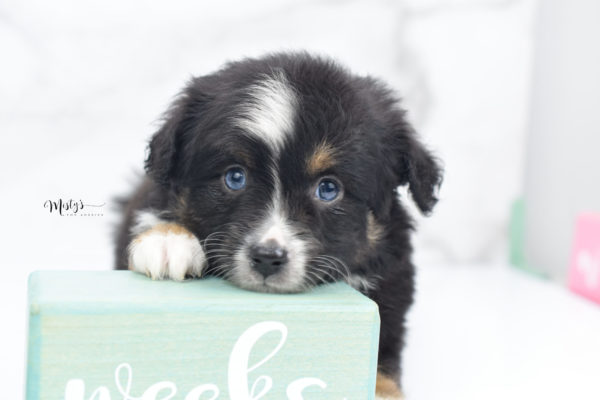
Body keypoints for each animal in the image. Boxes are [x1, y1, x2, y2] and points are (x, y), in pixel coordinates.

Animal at [115, 53, 440, 400]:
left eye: (329, 188)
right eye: (235, 177)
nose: (267, 258)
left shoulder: (391, 293)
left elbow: (382, 361)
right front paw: (167, 242)